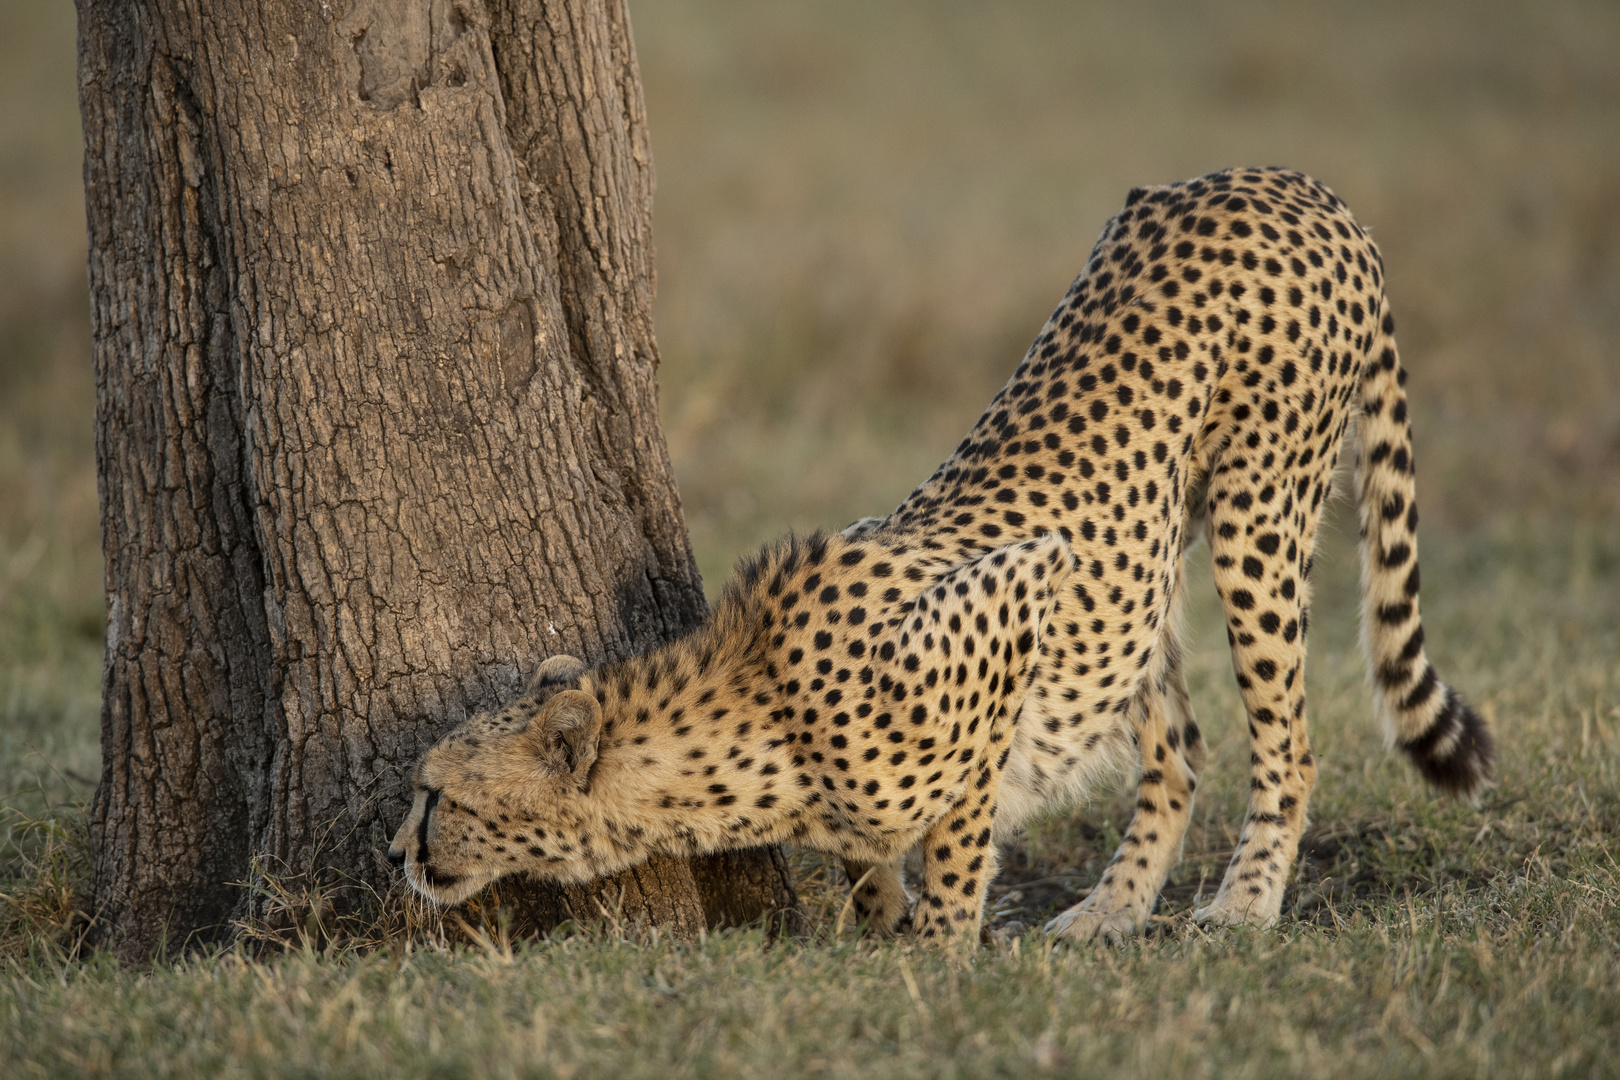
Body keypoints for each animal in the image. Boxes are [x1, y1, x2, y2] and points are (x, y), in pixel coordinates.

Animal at [395, 166, 1490, 945]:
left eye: (438, 793)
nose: (400, 849)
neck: (745, 721)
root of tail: (1292, 183)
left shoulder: (1018, 592)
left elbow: (961, 829)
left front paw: (942, 952)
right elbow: (871, 856)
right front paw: (885, 922)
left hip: (1257, 507)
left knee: (1286, 742)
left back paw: (1244, 904)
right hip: (1145, 561)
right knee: (1178, 749)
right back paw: (1111, 910)